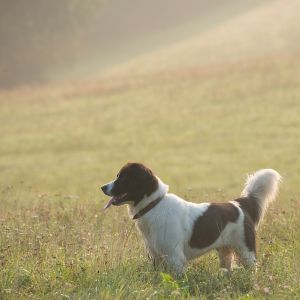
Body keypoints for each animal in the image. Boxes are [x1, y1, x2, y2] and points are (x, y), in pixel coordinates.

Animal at [101, 163, 282, 276]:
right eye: (118, 176)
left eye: (123, 178)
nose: (102, 187)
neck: (154, 205)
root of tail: (238, 204)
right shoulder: (156, 257)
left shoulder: (175, 258)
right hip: (224, 251)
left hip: (245, 250)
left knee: (252, 268)